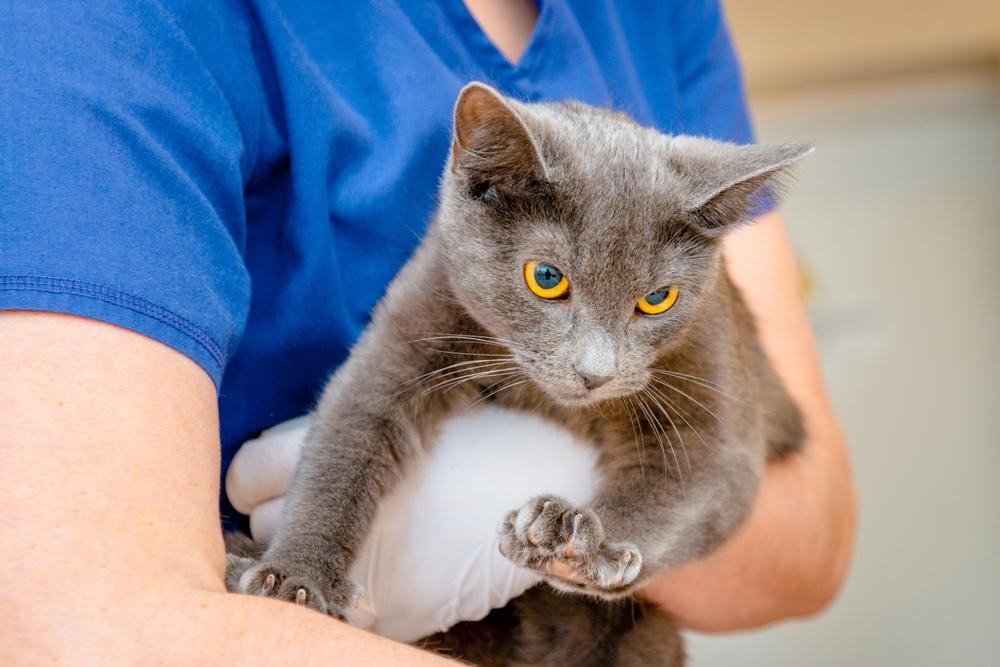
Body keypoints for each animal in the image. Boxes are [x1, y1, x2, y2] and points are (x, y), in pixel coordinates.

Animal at [225, 85, 804, 667]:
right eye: (546, 277)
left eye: (658, 298)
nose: (595, 373)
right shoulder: (414, 322)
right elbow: (344, 442)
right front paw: (296, 576)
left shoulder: (717, 389)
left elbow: (700, 483)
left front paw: (575, 540)